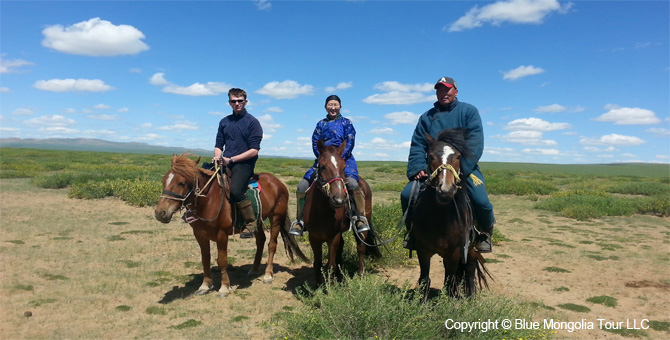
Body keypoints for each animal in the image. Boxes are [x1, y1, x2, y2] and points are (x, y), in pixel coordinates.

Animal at [155, 153, 310, 296]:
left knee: (272, 245)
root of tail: (278, 182)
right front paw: (205, 285)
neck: (208, 200)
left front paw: (224, 287)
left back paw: (267, 275)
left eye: (181, 183)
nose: (160, 213)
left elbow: (222, 260)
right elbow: (205, 259)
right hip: (258, 220)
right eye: (163, 181)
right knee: (261, 241)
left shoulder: (222, 234)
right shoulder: (200, 234)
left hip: (276, 218)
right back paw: (254, 269)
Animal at [304, 139, 384, 286]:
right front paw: (318, 286)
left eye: (344, 167)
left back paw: (360, 274)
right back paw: (340, 274)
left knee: (361, 247)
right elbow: (317, 263)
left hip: (362, 224)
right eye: (322, 166)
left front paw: (330, 288)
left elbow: (331, 265)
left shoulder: (333, 236)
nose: (339, 199)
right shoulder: (314, 237)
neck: (321, 212)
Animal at [406, 129, 490, 302]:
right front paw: (422, 303)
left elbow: (449, 280)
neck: (439, 218)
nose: (446, 190)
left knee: (470, 271)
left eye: (458, 156)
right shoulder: (423, 250)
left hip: (471, 250)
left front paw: (447, 303)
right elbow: (425, 278)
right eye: (431, 156)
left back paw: (470, 299)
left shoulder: (454, 253)